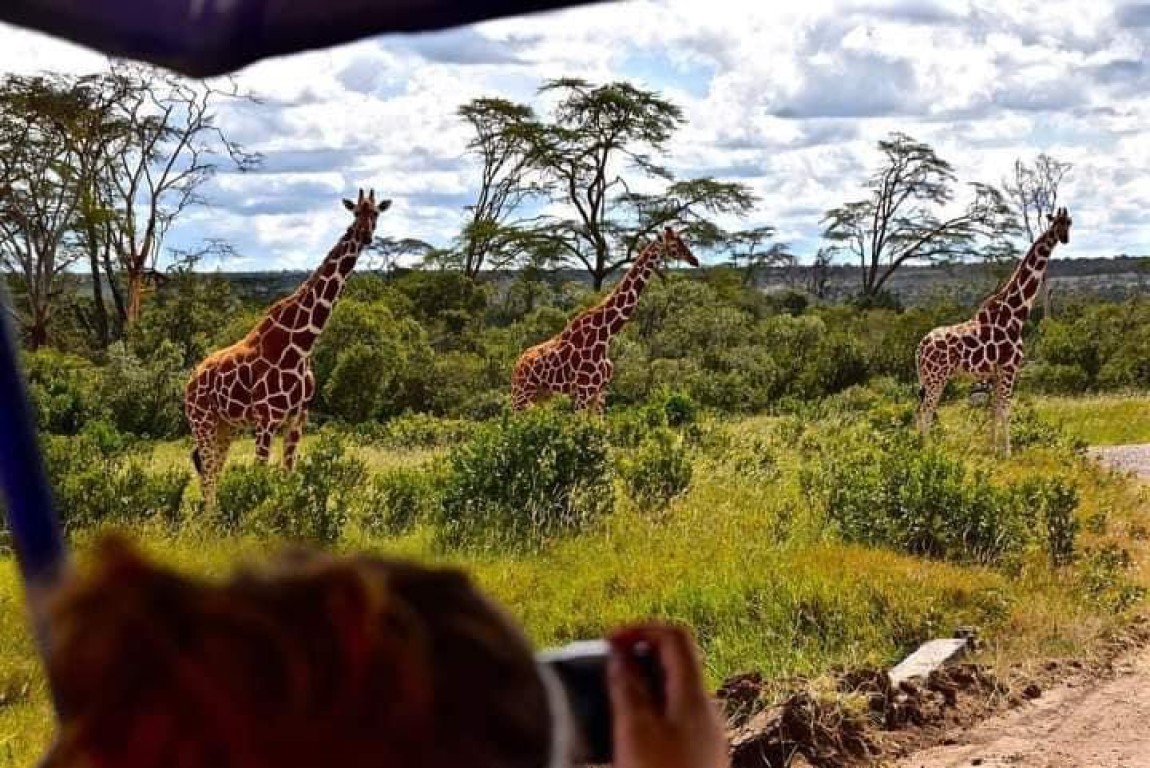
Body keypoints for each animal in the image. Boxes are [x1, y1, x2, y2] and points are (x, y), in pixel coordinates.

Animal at [184, 187, 391, 510]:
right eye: (356, 212)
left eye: (377, 213)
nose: (366, 236)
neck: (303, 345)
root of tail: (189, 381)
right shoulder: (266, 419)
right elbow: (260, 477)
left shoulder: (297, 419)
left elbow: (288, 474)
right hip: (201, 420)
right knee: (206, 468)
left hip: (225, 425)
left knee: (212, 467)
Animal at [515, 225, 699, 411]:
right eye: (674, 243)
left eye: (682, 240)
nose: (695, 260)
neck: (606, 336)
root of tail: (518, 362)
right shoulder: (583, 391)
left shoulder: (601, 392)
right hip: (521, 394)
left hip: (541, 396)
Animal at [915, 206, 1067, 452]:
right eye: (1057, 223)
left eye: (1069, 222)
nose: (1064, 238)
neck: (1016, 313)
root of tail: (920, 348)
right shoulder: (1009, 367)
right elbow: (1005, 409)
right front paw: (1008, 452)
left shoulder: (995, 373)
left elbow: (994, 409)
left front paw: (993, 449)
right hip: (937, 376)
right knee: (927, 410)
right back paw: (926, 450)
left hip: (927, 378)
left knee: (920, 410)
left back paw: (918, 445)